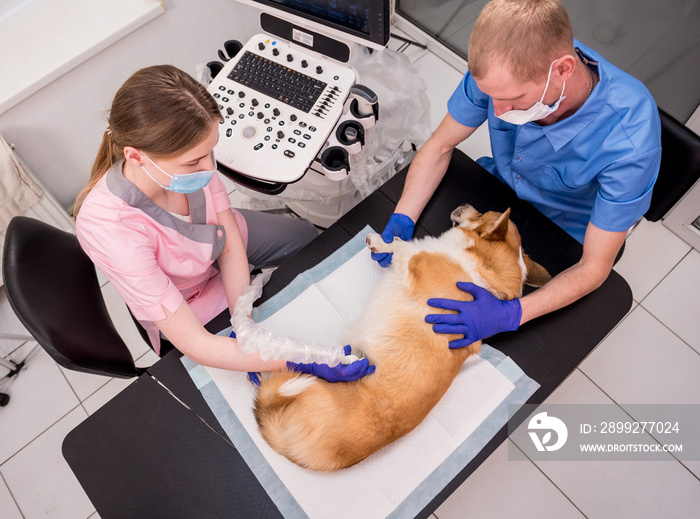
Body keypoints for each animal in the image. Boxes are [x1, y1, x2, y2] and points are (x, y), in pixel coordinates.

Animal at [254, 205, 548, 474]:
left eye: (484, 212)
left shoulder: (416, 259)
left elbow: (400, 245)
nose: (463, 205)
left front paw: (380, 241)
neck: (483, 264)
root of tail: (297, 453)